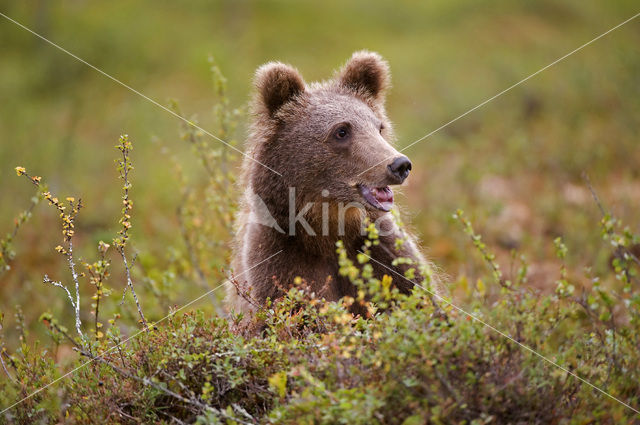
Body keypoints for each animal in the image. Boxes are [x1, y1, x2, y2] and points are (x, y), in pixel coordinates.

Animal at [226, 50, 440, 314]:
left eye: (379, 127)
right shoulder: (281, 265)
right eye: (342, 131)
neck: (329, 229)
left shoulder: (387, 258)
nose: (399, 165)